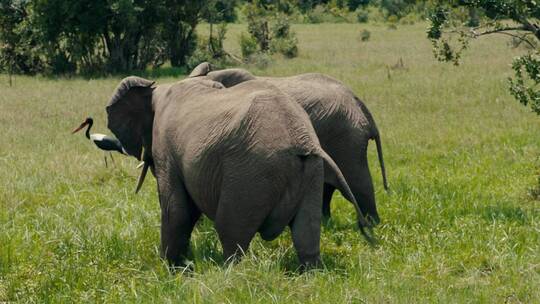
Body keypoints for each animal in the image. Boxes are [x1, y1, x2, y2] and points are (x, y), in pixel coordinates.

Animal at [107, 76, 374, 268]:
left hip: (249, 174)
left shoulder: (165, 147)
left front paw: (169, 270)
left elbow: (177, 210)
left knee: (231, 232)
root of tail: (303, 140)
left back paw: (231, 274)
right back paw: (311, 275)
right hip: (310, 172)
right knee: (305, 234)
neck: (158, 88)